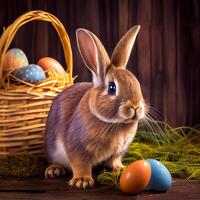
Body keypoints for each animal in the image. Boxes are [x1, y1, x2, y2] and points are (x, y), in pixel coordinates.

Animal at [44, 25, 146, 189]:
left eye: (136, 83)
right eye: (112, 88)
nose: (136, 107)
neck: (114, 123)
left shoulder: (118, 151)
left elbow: (114, 160)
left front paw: (121, 168)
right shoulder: (77, 148)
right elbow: (80, 164)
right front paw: (82, 180)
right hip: (52, 148)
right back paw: (54, 170)